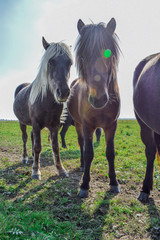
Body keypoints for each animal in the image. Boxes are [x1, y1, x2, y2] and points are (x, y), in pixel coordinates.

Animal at [13, 37, 73, 180]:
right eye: (51, 61)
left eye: (69, 63)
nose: (63, 92)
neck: (46, 101)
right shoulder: (36, 123)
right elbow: (37, 147)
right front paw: (36, 170)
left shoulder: (55, 125)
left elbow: (55, 147)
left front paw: (61, 169)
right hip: (22, 122)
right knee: (25, 138)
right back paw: (25, 158)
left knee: (31, 137)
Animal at [67, 17, 120, 197]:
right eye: (82, 57)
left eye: (109, 54)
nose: (98, 99)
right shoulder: (87, 125)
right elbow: (89, 152)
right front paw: (84, 184)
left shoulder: (111, 125)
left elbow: (110, 153)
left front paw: (114, 182)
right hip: (78, 124)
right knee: (81, 143)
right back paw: (83, 165)